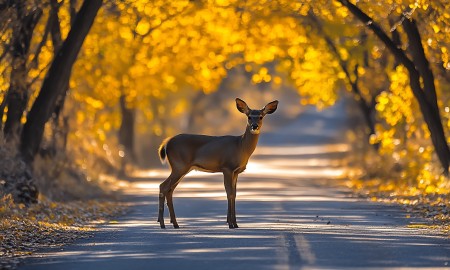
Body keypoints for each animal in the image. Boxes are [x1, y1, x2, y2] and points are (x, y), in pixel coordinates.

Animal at [157, 98, 278, 229]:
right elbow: (229, 193)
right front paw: (230, 223)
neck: (240, 146)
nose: (254, 126)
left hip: (182, 168)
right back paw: (162, 223)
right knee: (163, 186)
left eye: (261, 117)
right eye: (249, 116)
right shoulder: (227, 167)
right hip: (179, 166)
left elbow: (234, 193)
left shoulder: (236, 171)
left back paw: (174, 223)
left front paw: (235, 223)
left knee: (169, 190)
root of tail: (167, 142)